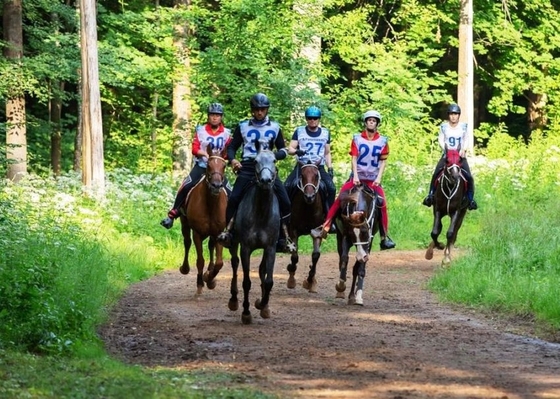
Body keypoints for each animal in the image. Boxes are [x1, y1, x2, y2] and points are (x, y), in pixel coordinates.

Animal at [182, 150, 230, 296]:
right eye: (208, 165)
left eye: (224, 166)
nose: (216, 186)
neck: (210, 204)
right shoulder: (197, 233)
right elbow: (200, 261)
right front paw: (200, 284)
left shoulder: (219, 233)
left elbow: (219, 263)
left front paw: (209, 278)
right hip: (184, 224)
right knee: (187, 242)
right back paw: (184, 268)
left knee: (210, 246)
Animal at [228, 144, 280, 324]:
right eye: (256, 161)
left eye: (274, 160)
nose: (265, 181)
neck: (261, 212)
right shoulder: (246, 248)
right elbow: (246, 282)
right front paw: (246, 312)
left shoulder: (270, 247)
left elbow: (269, 280)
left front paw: (262, 305)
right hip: (233, 243)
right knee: (235, 264)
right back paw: (233, 300)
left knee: (262, 270)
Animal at [286, 159, 326, 294]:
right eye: (302, 176)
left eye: (316, 176)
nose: (309, 197)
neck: (308, 207)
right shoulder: (293, 229)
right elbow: (294, 256)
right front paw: (291, 279)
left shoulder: (318, 230)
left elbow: (316, 255)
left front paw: (310, 281)